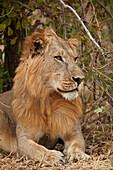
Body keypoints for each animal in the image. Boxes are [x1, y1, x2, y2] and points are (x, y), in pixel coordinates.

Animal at [0, 27, 89, 163]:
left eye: (75, 59)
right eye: (58, 57)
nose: (80, 79)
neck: (49, 100)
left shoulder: (73, 131)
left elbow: (77, 144)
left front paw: (77, 154)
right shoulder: (23, 140)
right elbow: (38, 149)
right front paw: (53, 156)